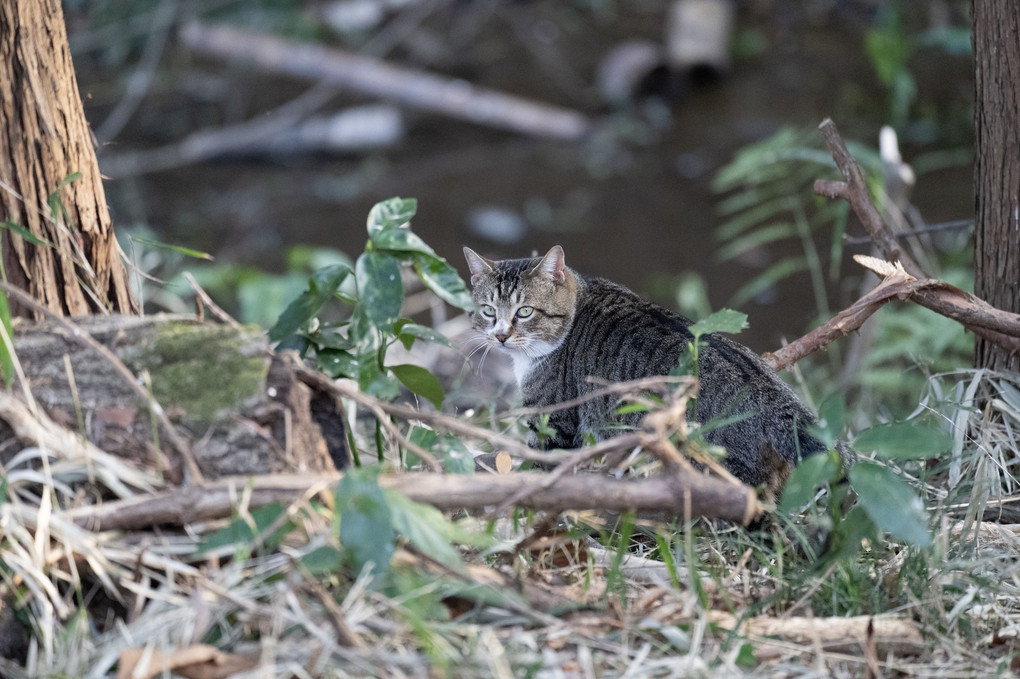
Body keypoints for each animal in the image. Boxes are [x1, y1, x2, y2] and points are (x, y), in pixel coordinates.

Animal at [465, 243, 844, 487]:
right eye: (488, 311)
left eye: (525, 311)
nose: (500, 336)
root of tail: (773, 400)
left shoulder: (554, 425)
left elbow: (540, 468)